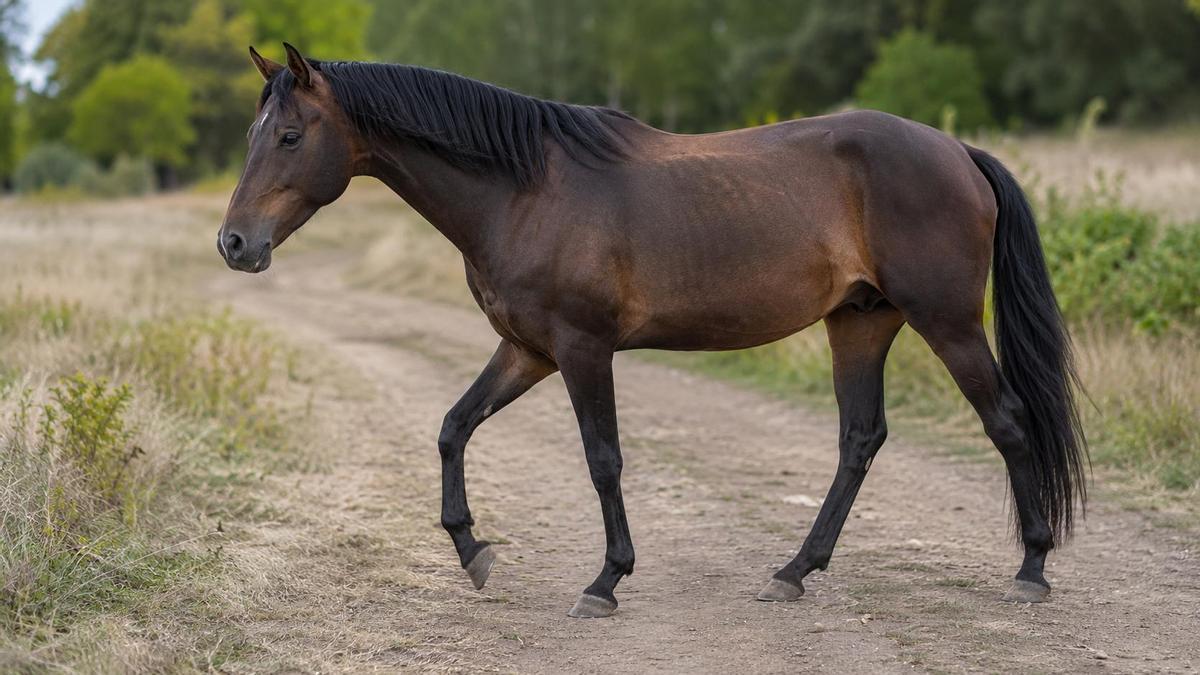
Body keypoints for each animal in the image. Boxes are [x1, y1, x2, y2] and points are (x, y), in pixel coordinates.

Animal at [218, 43, 1087, 618]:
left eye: (291, 136)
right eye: (253, 136)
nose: (235, 244)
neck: (525, 188)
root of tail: (958, 151)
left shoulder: (581, 350)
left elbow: (603, 460)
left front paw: (605, 580)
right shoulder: (526, 349)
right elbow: (452, 427)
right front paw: (473, 551)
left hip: (947, 322)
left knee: (1007, 422)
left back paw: (1032, 568)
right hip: (862, 322)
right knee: (860, 439)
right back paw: (794, 569)